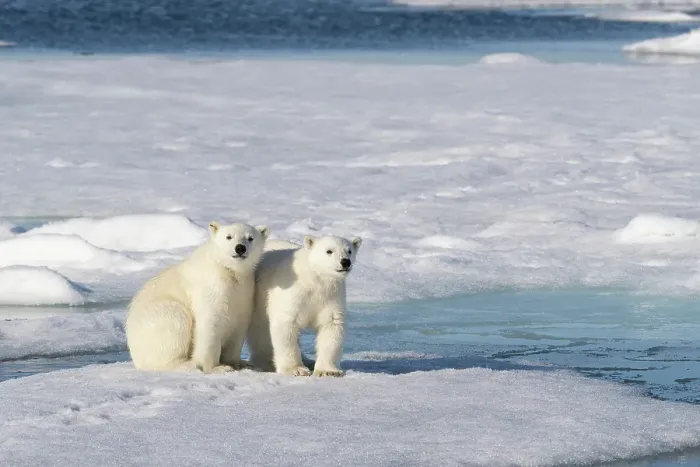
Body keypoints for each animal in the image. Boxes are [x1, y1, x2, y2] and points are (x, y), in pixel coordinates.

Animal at [125, 221, 269, 373]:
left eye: (250, 238)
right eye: (229, 236)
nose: (240, 248)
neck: (227, 270)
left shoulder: (244, 293)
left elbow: (239, 325)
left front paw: (239, 363)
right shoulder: (210, 289)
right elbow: (209, 325)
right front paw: (217, 367)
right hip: (161, 319)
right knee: (177, 322)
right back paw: (186, 364)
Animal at [248, 234, 362, 377]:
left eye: (349, 250)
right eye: (329, 251)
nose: (345, 262)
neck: (314, 280)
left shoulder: (331, 297)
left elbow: (332, 325)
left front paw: (328, 371)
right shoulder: (292, 294)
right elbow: (286, 325)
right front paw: (295, 369)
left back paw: (308, 361)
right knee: (260, 330)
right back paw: (266, 362)